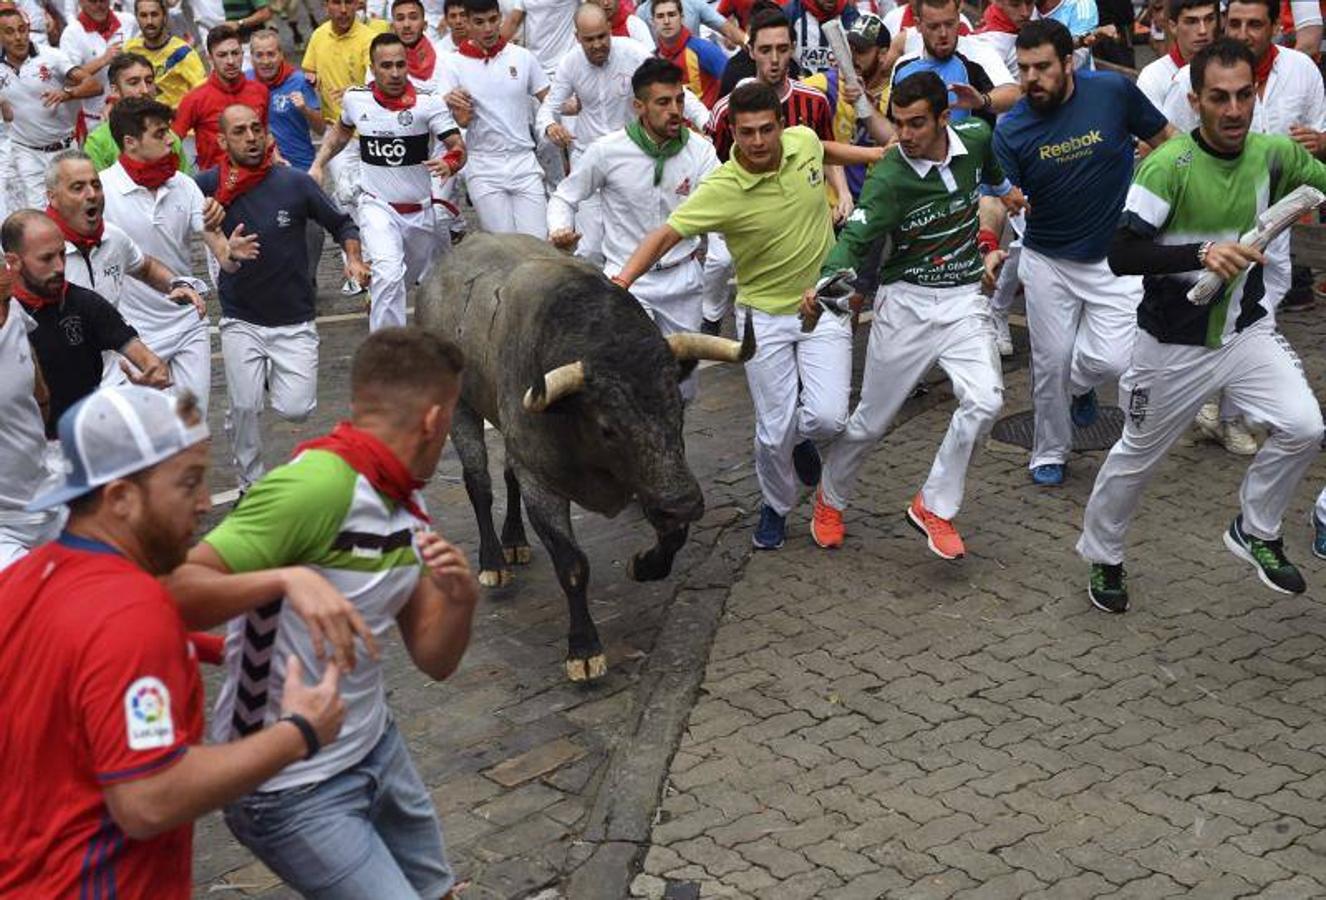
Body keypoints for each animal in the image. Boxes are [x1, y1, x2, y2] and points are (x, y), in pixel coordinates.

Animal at [416, 235, 758, 678]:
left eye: (679, 410)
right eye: (607, 428)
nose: (684, 502)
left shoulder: (652, 480)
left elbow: (673, 535)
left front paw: (645, 565)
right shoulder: (543, 481)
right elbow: (573, 564)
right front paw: (583, 649)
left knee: (506, 475)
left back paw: (514, 541)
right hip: (460, 407)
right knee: (479, 483)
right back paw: (493, 561)